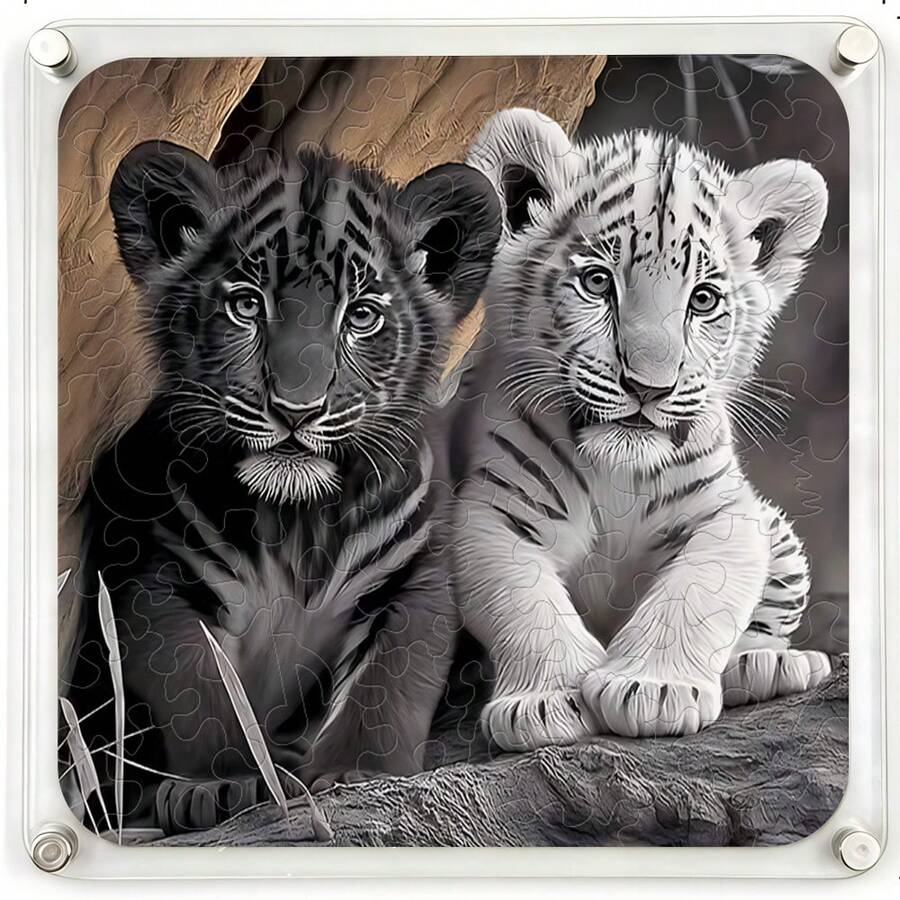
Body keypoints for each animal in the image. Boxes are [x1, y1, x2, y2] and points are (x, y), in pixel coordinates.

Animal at [67, 140, 500, 831]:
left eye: (362, 315)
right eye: (247, 304)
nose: (296, 410)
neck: (299, 520)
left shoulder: (415, 575)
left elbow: (390, 684)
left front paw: (362, 773)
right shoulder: (156, 575)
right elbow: (196, 688)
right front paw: (224, 783)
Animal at [451, 108, 832, 751]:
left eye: (703, 300)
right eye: (598, 283)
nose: (648, 388)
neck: (616, 472)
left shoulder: (726, 513)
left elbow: (698, 591)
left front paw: (653, 690)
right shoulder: (495, 514)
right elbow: (525, 603)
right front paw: (547, 702)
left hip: (777, 529)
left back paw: (762, 664)